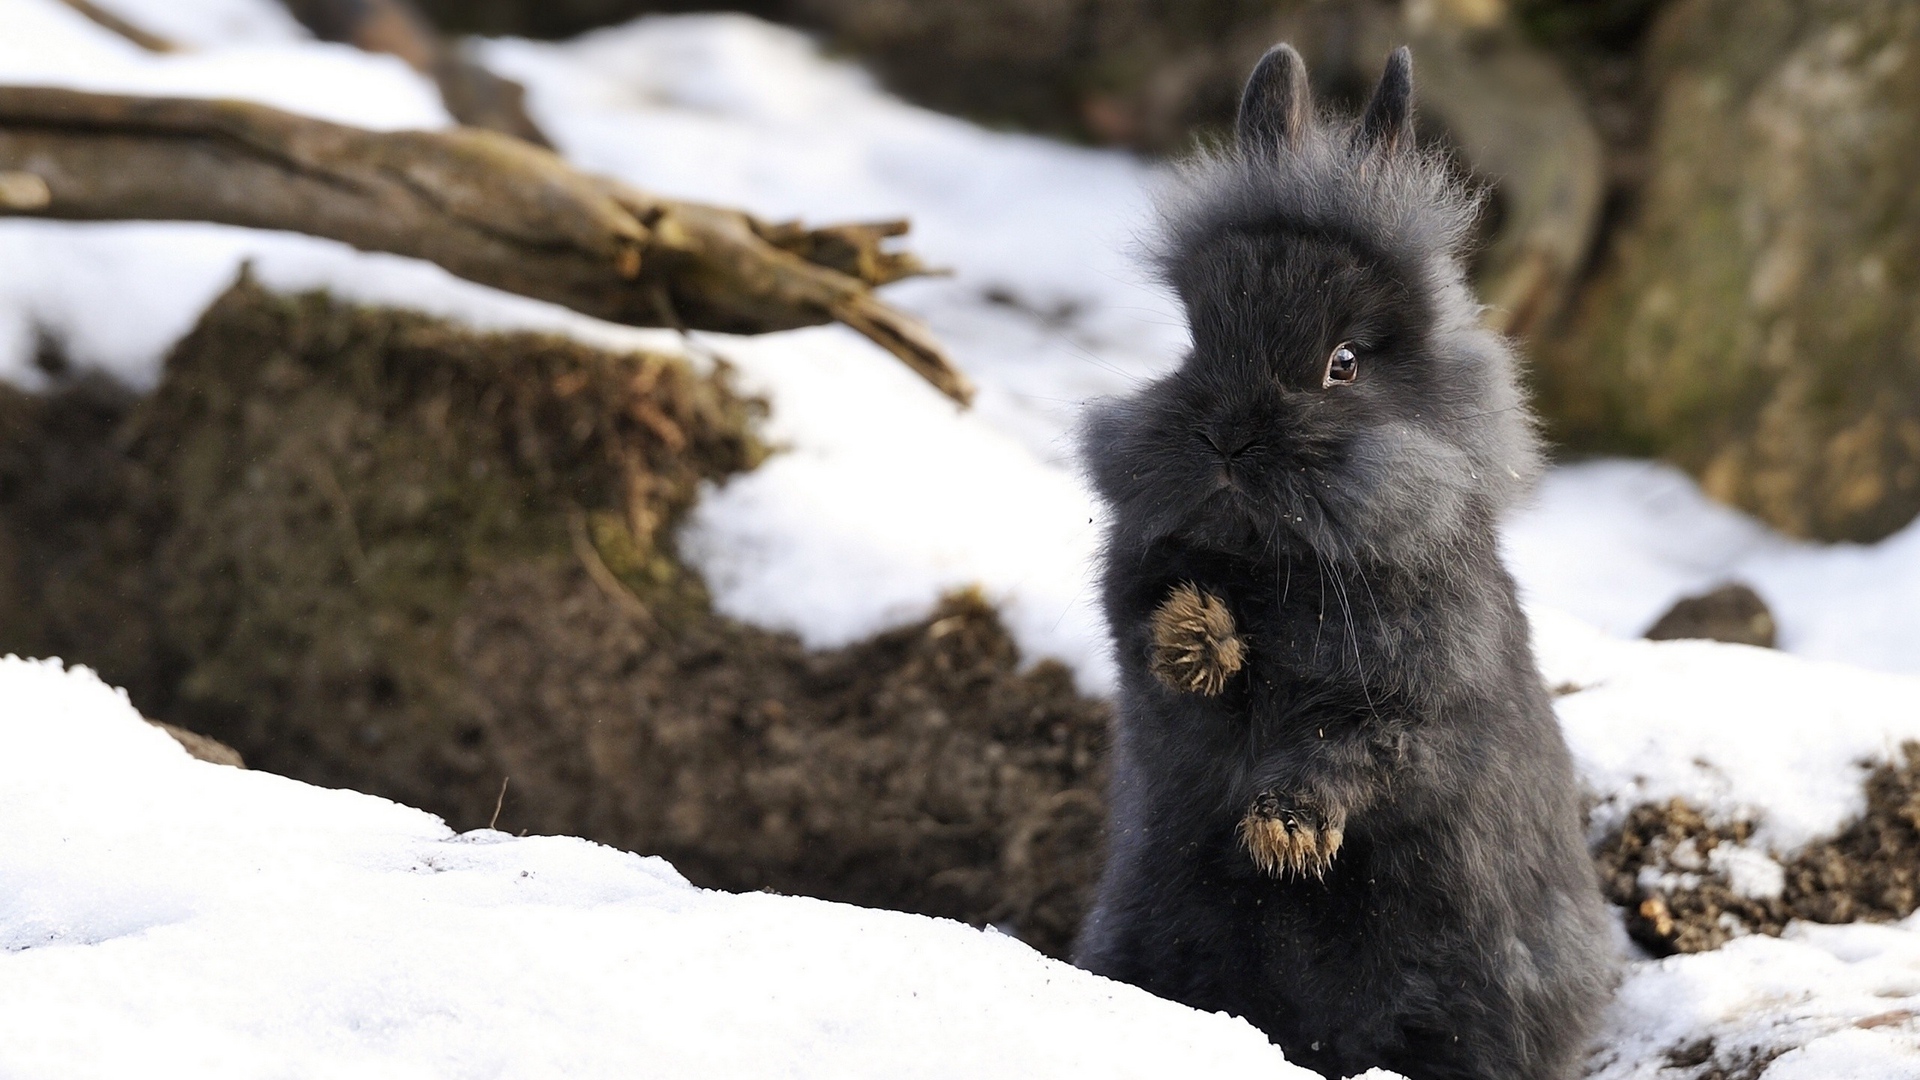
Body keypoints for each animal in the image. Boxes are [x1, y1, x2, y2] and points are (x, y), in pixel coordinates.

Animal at [1071, 44, 1614, 1080]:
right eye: (1196, 340)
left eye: (1345, 364)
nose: (1228, 440)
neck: (1278, 567)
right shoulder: (1136, 602)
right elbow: (1158, 635)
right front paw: (1199, 638)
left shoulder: (1416, 709)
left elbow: (1353, 754)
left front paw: (1283, 834)